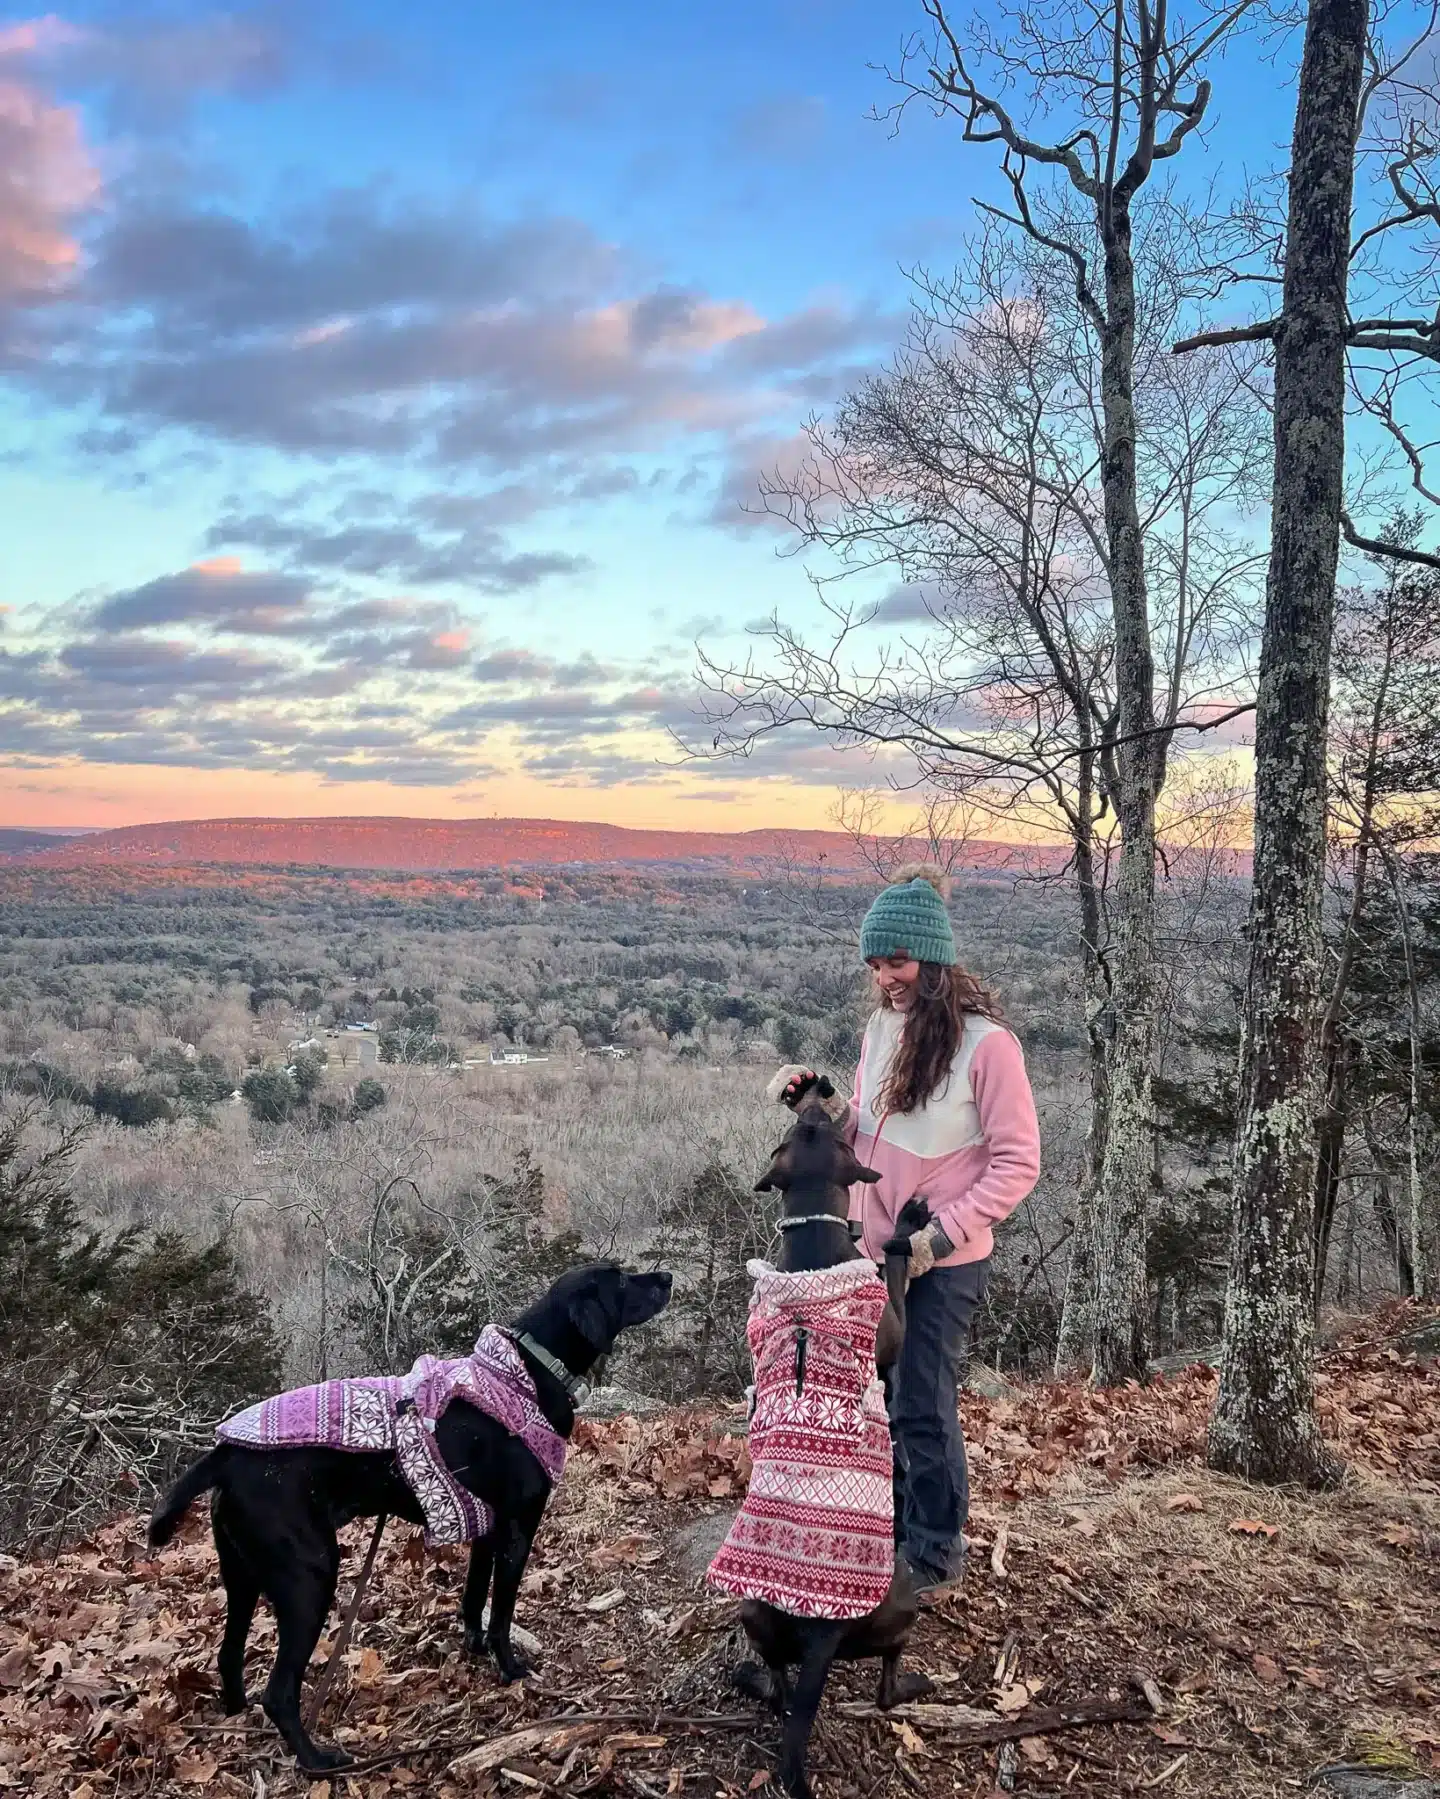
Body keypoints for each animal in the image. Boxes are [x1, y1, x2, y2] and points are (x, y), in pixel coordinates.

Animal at [149, 1266, 673, 1770]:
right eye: (620, 1278)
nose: (666, 1277)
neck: (527, 1371)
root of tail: (225, 1455)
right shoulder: (518, 1529)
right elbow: (502, 1611)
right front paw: (510, 1668)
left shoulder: (487, 1529)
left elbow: (473, 1599)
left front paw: (475, 1648)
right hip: (308, 1577)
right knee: (278, 1694)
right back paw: (317, 1760)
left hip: (242, 1576)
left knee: (228, 1656)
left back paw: (239, 1717)